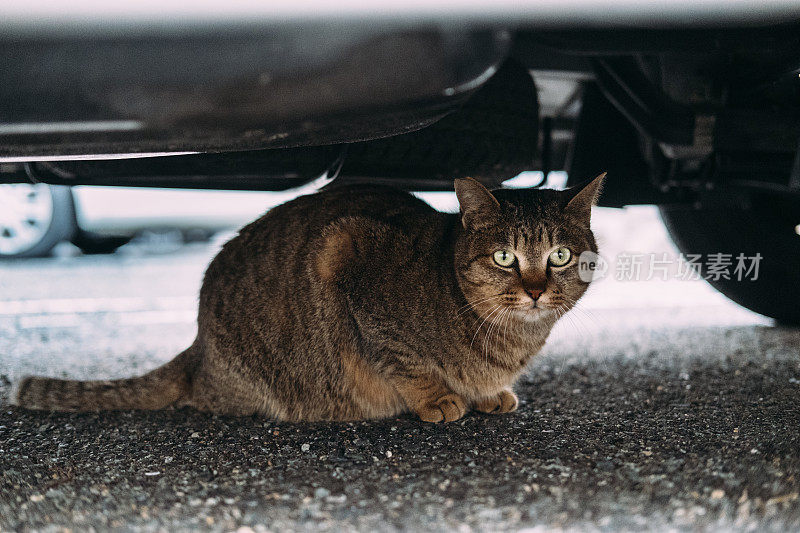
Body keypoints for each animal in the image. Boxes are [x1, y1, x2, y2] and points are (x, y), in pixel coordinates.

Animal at [12, 176, 604, 424]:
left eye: (559, 256)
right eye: (505, 257)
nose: (535, 290)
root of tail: (197, 348)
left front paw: (488, 393)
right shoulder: (350, 262)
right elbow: (407, 363)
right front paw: (439, 398)